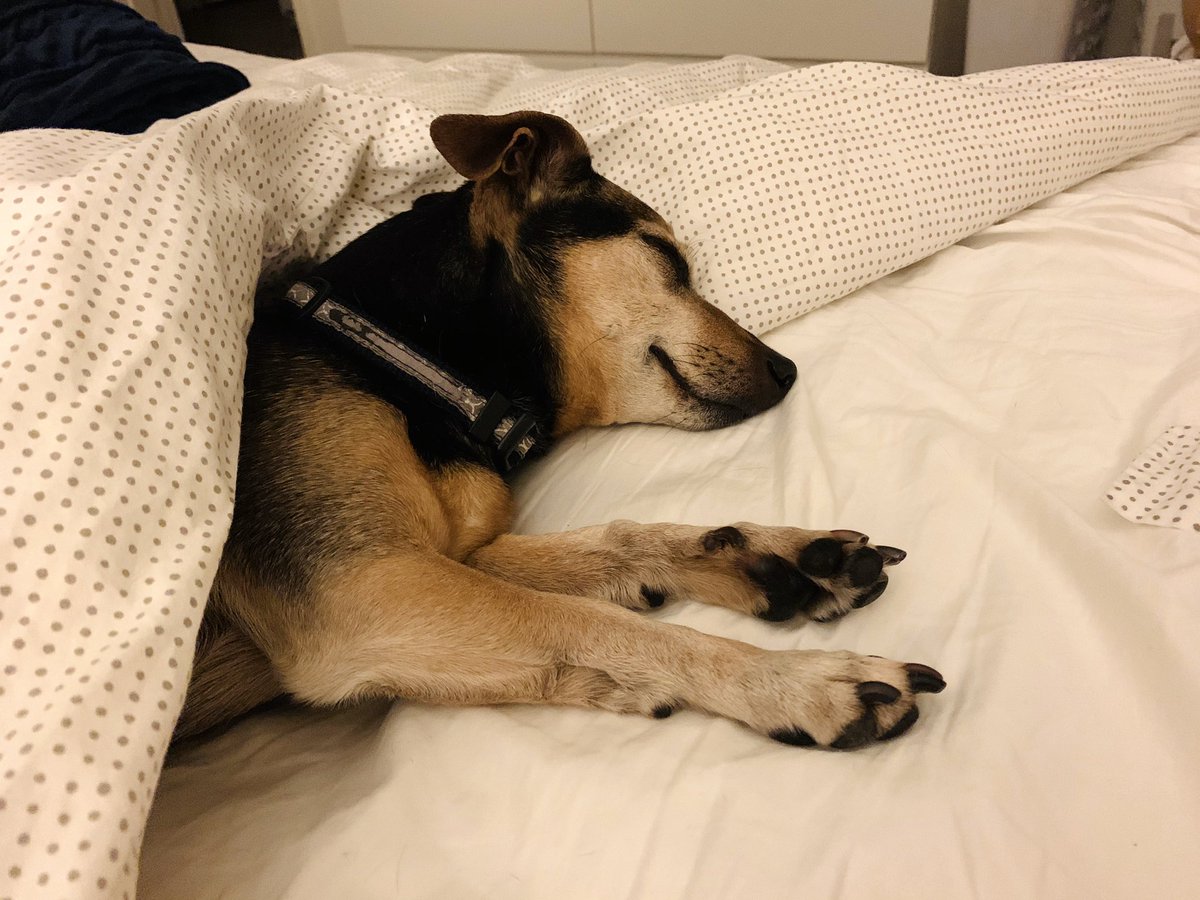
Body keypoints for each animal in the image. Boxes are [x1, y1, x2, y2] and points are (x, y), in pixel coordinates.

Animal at [180, 111, 945, 748]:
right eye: (670, 261)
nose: (787, 370)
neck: (399, 356)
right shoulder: (361, 586)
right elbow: (596, 621)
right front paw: (798, 682)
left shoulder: (433, 557)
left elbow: (611, 544)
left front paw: (773, 555)